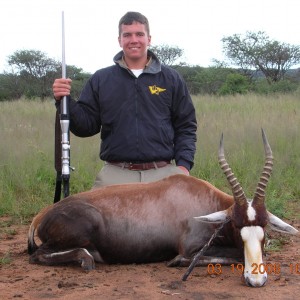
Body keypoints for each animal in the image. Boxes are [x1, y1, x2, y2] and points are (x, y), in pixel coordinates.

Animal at [28, 130, 298, 288]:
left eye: (264, 229)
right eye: (235, 224)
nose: (256, 280)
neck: (204, 199)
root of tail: (43, 214)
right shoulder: (190, 248)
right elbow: (227, 256)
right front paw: (176, 262)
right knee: (38, 255)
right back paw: (86, 260)